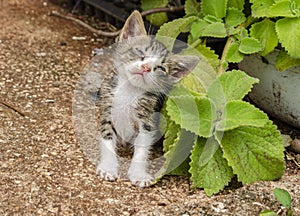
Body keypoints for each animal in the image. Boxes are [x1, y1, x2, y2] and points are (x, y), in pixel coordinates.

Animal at [96, 10, 199, 186]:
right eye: (140, 52)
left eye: (160, 68)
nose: (145, 67)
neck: (129, 91)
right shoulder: (107, 109)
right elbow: (107, 137)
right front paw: (108, 167)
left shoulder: (148, 119)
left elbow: (142, 147)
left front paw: (138, 174)